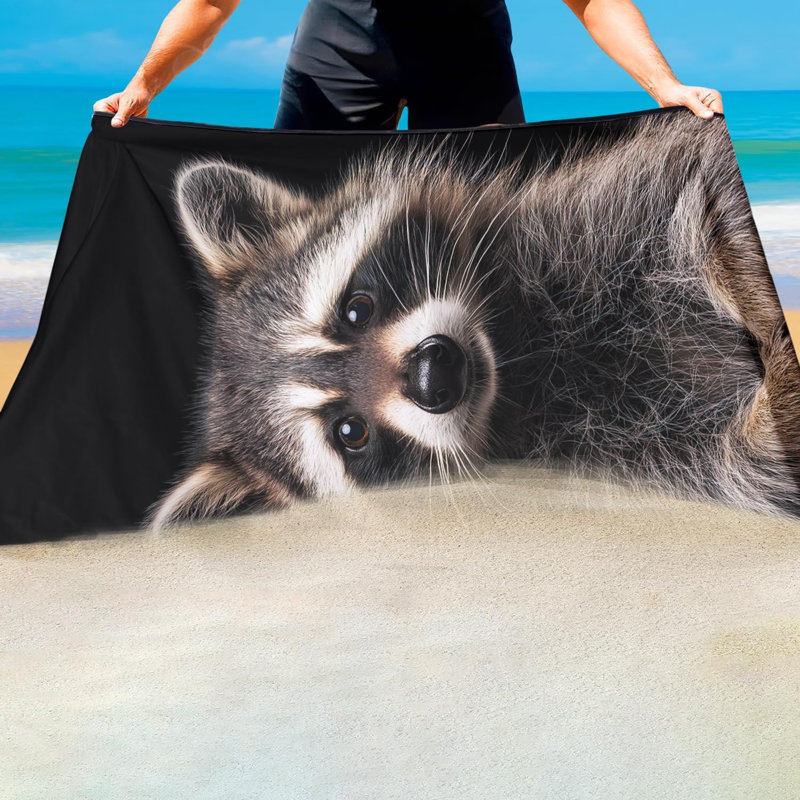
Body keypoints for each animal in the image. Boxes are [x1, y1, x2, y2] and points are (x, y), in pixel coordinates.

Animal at [148, 111, 800, 529]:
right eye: (349, 431)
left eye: (356, 311)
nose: (436, 374)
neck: (525, 358)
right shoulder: (663, 438)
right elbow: (756, 457)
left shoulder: (605, 212)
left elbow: (695, 181)